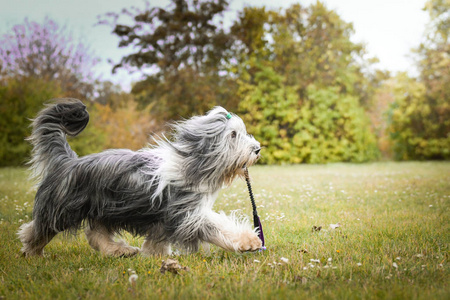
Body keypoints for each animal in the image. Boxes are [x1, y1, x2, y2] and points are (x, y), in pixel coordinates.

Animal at [18, 99, 264, 256]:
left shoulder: (165, 219)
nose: (257, 149)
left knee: (95, 234)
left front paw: (154, 255)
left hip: (104, 210)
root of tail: (68, 161)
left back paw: (120, 251)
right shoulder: (185, 214)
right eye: (233, 135)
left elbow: (157, 241)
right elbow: (215, 226)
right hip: (63, 209)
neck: (190, 162)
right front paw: (249, 241)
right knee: (36, 230)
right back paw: (33, 253)